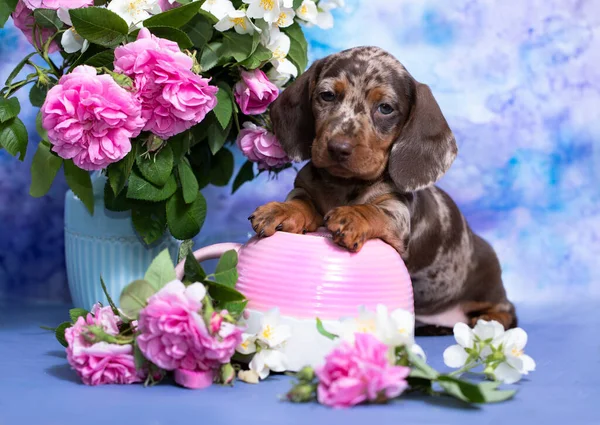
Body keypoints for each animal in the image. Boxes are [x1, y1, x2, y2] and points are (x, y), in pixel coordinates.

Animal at [247, 46, 516, 332]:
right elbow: (300, 202)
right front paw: (281, 211)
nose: (338, 148)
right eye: (327, 95)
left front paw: (352, 216)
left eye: (385, 108)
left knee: (507, 312)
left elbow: (373, 210)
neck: (343, 184)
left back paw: (489, 320)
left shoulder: (398, 215)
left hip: (488, 290)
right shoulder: (303, 189)